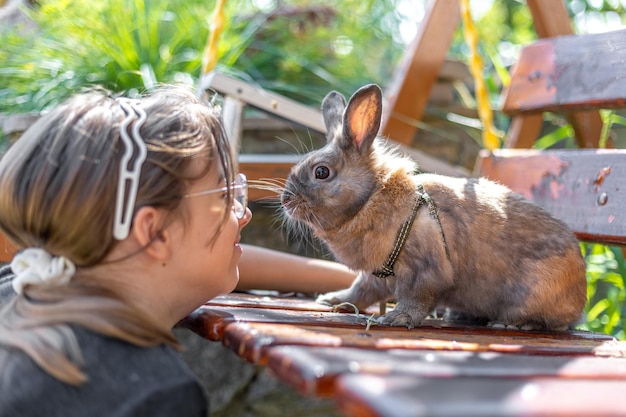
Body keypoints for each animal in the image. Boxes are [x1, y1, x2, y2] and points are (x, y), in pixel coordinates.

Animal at [280, 83, 588, 328]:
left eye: (321, 172)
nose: (285, 200)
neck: (372, 197)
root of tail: (580, 294)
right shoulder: (376, 275)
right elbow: (361, 291)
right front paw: (333, 300)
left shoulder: (426, 270)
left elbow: (417, 298)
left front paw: (397, 319)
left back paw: (514, 324)